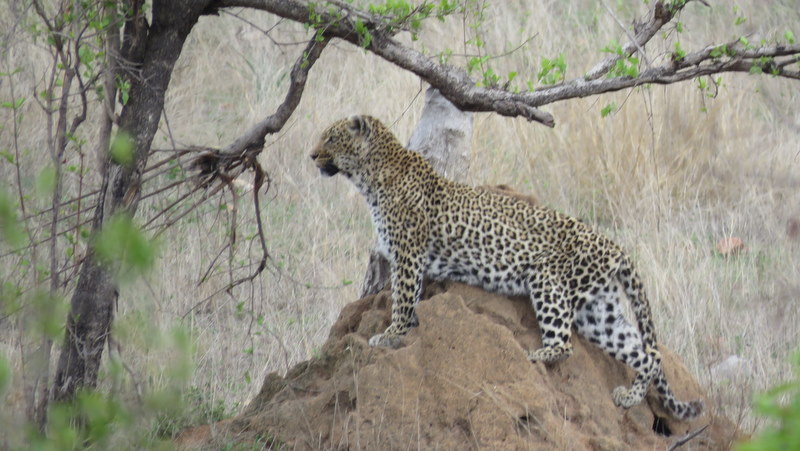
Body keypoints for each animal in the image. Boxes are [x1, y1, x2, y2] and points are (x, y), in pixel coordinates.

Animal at [310, 115, 703, 421]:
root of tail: (614, 246)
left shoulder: (408, 254)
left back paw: (538, 355)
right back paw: (628, 396)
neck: (371, 176)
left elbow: (403, 300)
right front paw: (395, 332)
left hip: (547, 279)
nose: (312, 155)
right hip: (597, 311)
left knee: (566, 343)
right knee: (648, 353)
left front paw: (392, 334)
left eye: (330, 137)